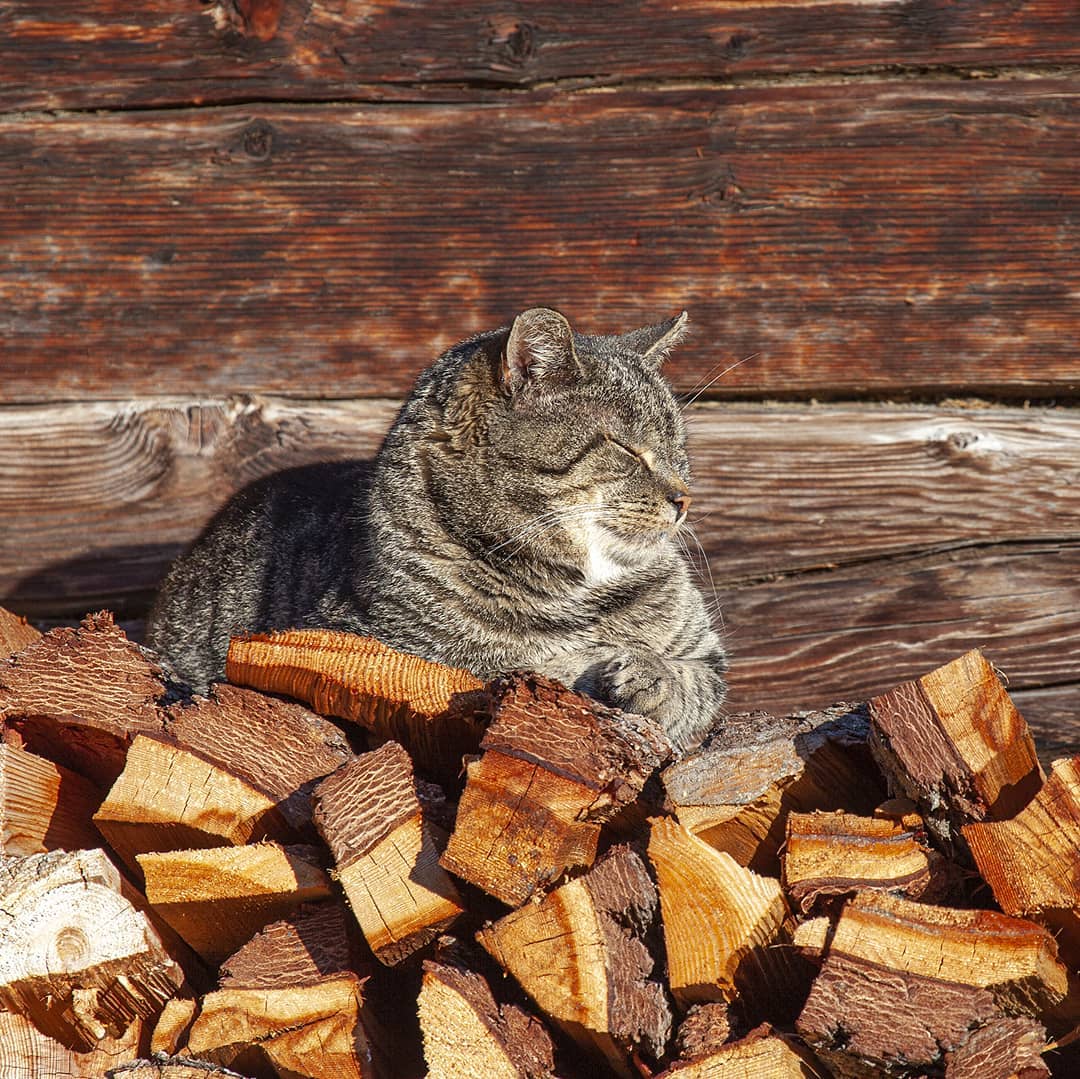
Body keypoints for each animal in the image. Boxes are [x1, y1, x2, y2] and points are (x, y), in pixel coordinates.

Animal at [145, 308, 725, 756]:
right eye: (626, 449)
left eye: (678, 450)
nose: (684, 498)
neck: (584, 592)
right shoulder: (379, 655)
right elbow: (521, 672)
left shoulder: (707, 657)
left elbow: (696, 683)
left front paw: (650, 675)